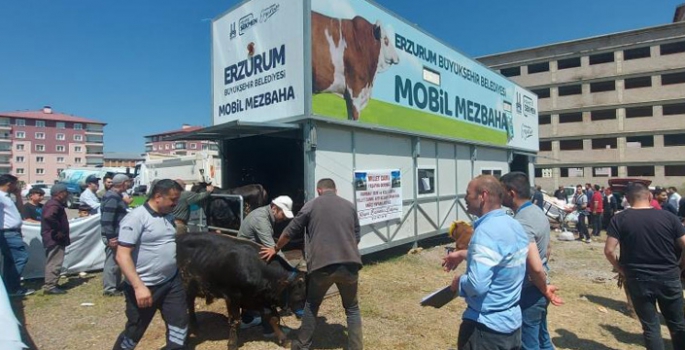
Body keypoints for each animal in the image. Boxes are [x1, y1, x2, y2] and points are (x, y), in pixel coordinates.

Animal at [176, 231, 304, 348]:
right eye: (299, 294)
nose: (302, 315)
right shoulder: (233, 296)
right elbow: (235, 320)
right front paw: (232, 344)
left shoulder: (258, 299)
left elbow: (273, 318)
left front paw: (284, 340)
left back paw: (195, 328)